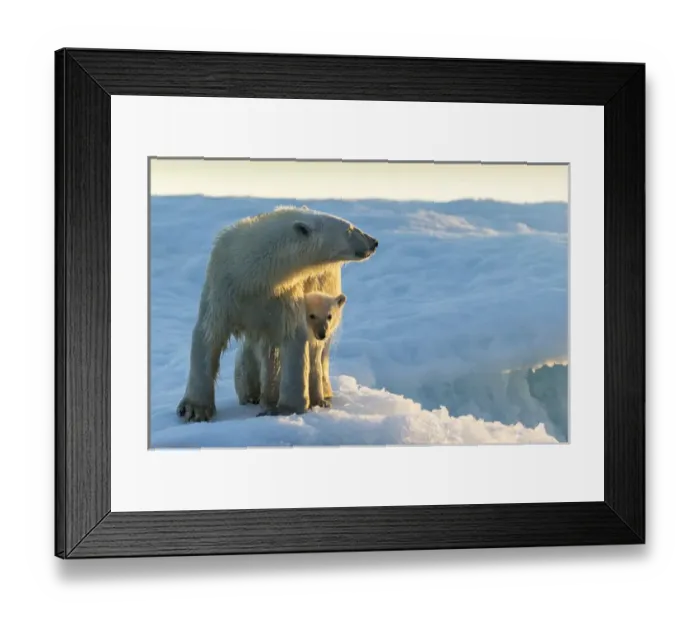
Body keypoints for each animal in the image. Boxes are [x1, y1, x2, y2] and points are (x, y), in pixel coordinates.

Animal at [177, 206, 378, 422]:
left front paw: (285, 408)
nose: (374, 242)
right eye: (349, 229)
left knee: (314, 350)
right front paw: (194, 409)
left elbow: (294, 338)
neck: (254, 274)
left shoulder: (285, 296)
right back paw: (255, 394)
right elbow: (208, 334)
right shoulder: (222, 288)